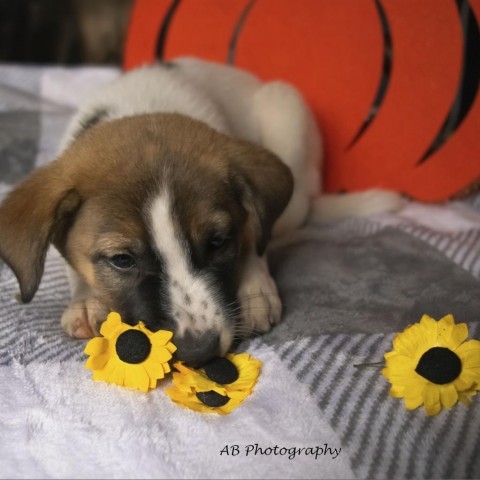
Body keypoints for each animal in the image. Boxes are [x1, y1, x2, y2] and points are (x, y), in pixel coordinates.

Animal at [0, 58, 402, 366]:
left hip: (286, 111)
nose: (200, 352)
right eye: (122, 260)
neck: (143, 107)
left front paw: (256, 287)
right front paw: (86, 302)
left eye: (218, 241)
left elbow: (254, 234)